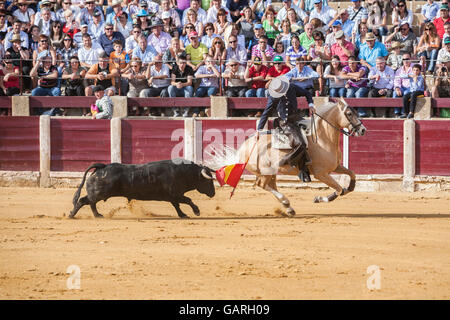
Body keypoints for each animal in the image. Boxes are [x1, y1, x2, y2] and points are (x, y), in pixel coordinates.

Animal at [70, 159, 216, 219]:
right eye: (208, 180)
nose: (213, 193)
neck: (184, 172)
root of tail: (102, 166)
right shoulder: (175, 194)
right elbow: (188, 200)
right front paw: (196, 211)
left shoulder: (172, 196)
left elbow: (177, 205)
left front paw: (183, 215)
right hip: (98, 193)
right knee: (83, 201)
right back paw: (72, 215)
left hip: (98, 194)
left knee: (90, 203)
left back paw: (97, 215)